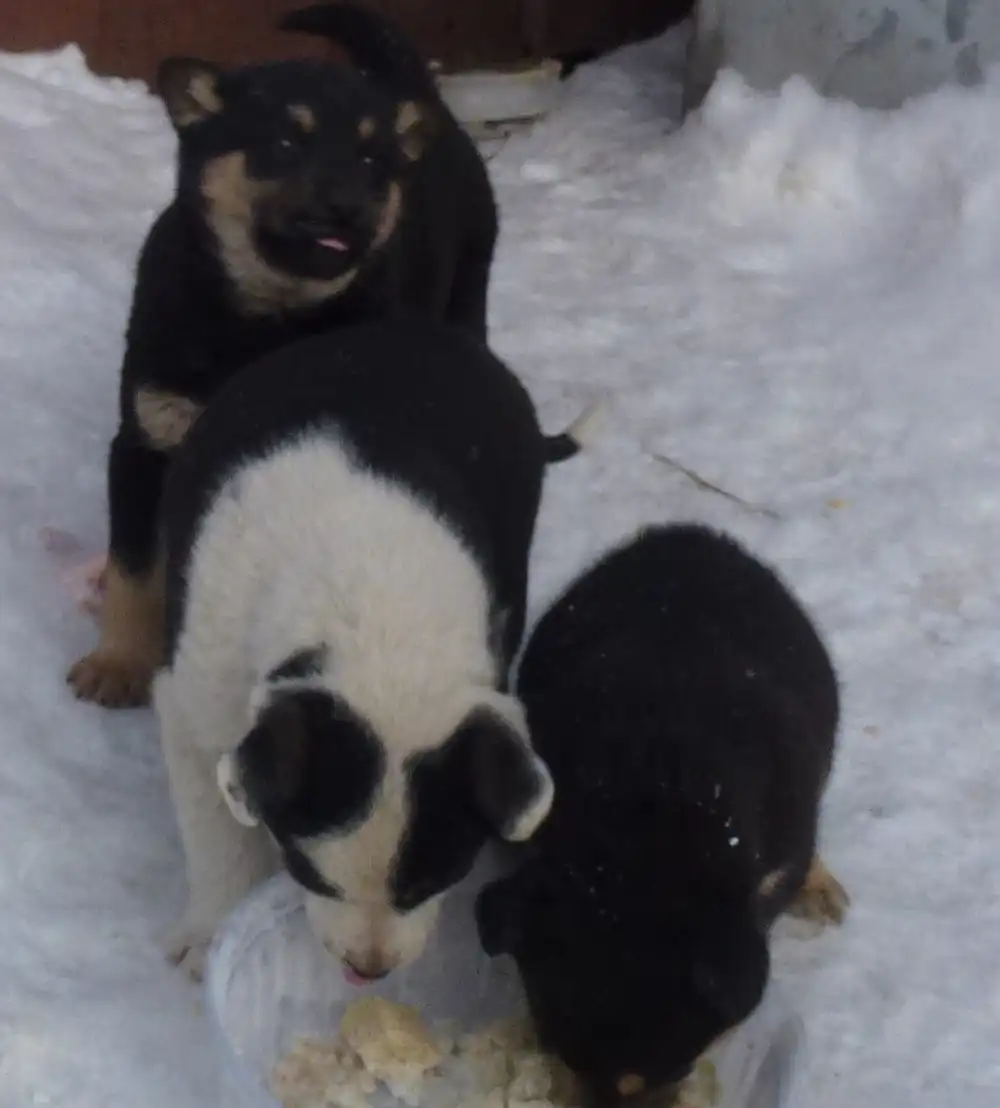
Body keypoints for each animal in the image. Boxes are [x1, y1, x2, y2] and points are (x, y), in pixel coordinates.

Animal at [67, 1, 498, 709]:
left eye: (372, 159)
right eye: (287, 143)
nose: (348, 207)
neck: (267, 318)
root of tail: (424, 99)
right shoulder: (144, 440)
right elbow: (134, 567)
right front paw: (119, 662)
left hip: (470, 288)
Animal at [151, 319, 601, 981]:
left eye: (437, 881)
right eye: (311, 876)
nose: (368, 970)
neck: (376, 622)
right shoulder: (194, 711)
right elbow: (216, 834)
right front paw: (210, 931)